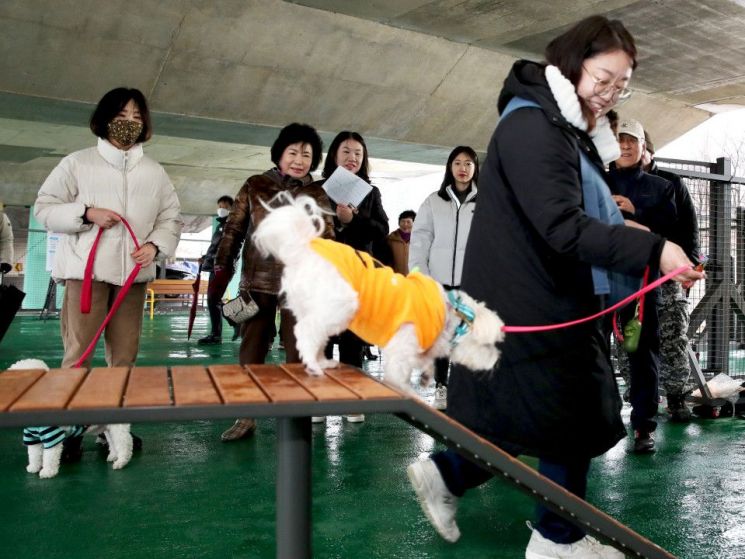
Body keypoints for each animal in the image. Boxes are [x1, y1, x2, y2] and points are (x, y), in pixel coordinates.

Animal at [251, 195, 506, 392]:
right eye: (487, 345)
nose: (496, 361)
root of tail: (303, 249)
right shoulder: (401, 348)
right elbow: (398, 376)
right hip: (338, 307)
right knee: (306, 331)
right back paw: (314, 365)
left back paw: (322, 362)